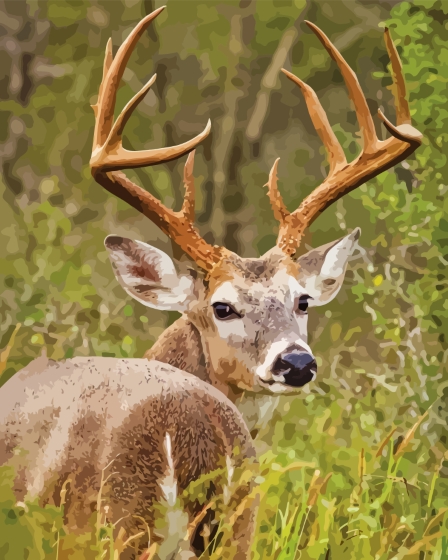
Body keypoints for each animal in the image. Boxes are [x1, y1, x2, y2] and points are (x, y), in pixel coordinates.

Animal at [0, 7, 422, 560]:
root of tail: (191, 430)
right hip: (234, 524)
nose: (296, 363)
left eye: (303, 301)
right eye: (222, 307)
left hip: (115, 522)